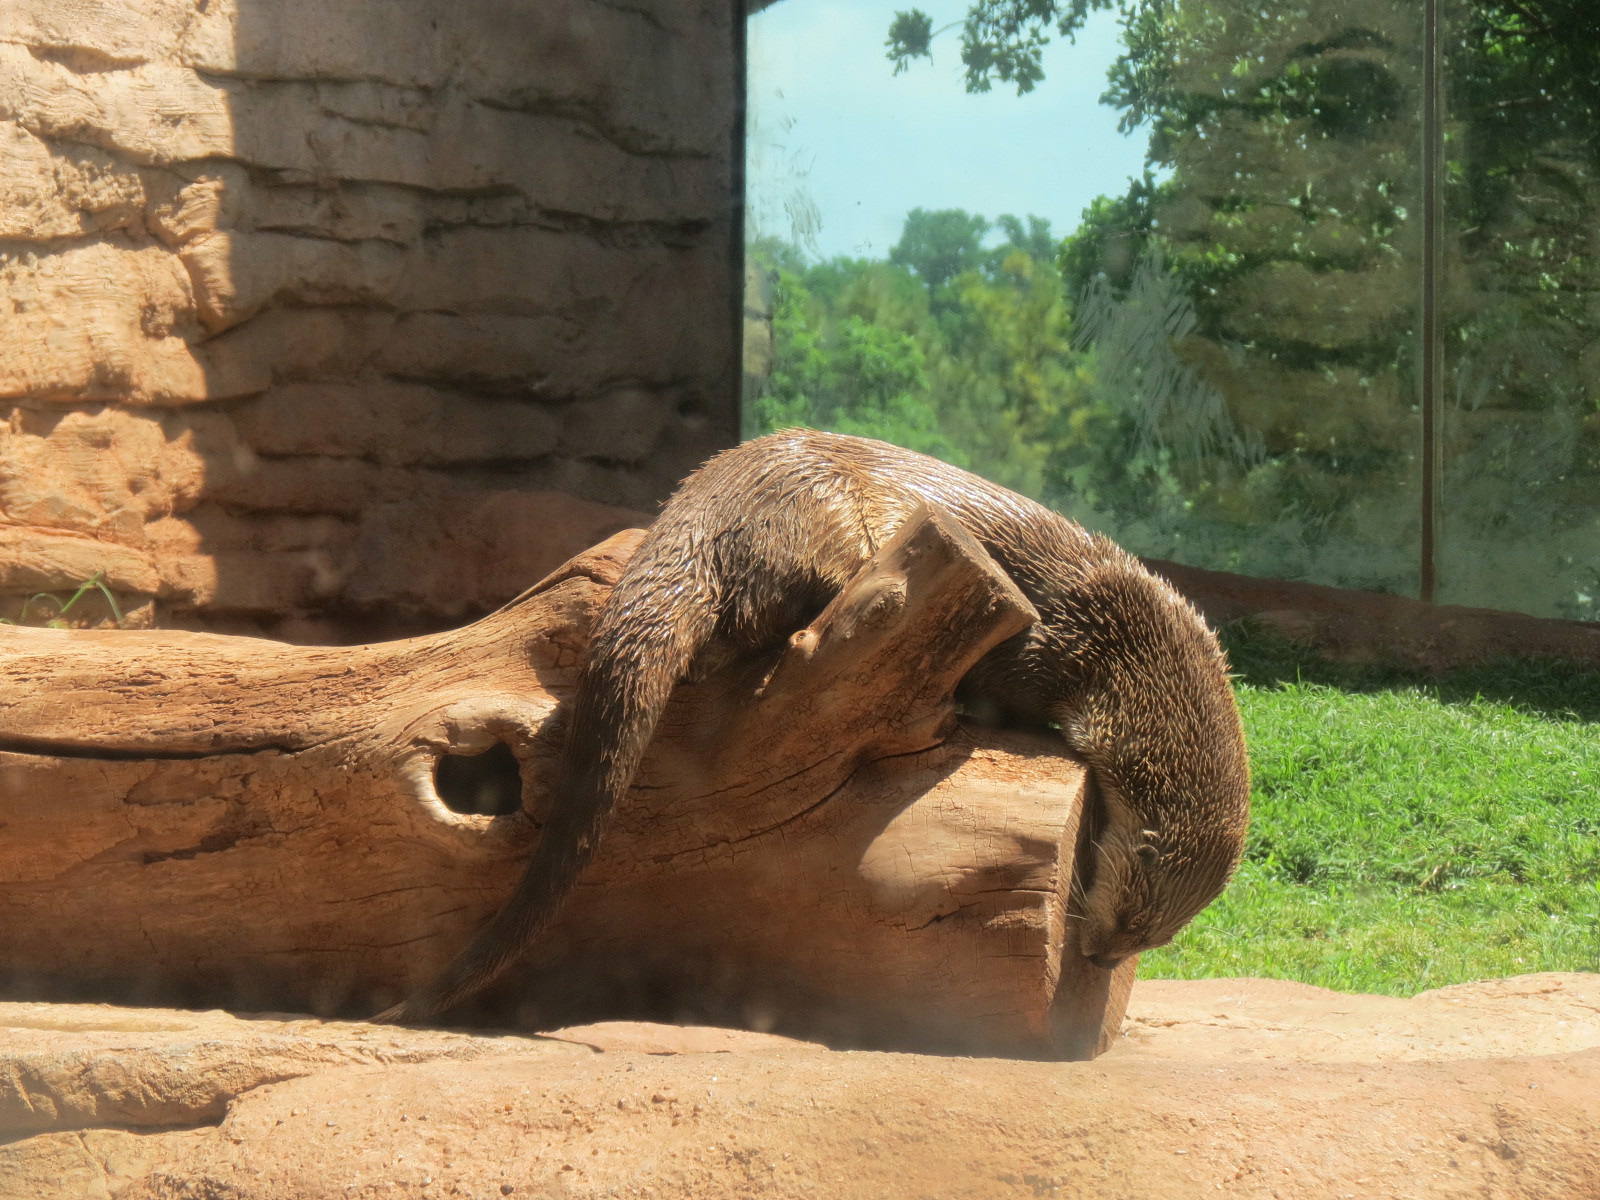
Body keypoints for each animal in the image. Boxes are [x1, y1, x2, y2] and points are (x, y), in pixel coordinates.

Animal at [376, 429, 1250, 1023]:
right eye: (1129, 917)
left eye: (1149, 941)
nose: (1098, 956)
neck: (1123, 648)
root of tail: (702, 505)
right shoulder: (1046, 647)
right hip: (819, 518)